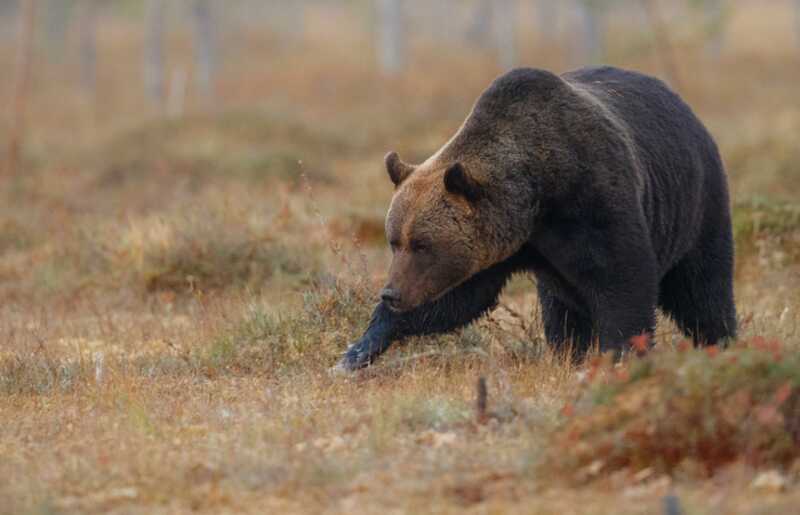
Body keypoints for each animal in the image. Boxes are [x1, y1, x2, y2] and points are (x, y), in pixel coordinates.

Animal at [332, 65, 736, 370]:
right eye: (394, 241)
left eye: (422, 244)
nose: (391, 293)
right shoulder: (501, 248)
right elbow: (455, 300)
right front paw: (356, 351)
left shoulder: (594, 202)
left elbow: (624, 281)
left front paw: (620, 355)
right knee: (561, 309)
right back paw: (567, 352)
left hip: (697, 202)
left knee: (702, 288)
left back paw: (722, 341)